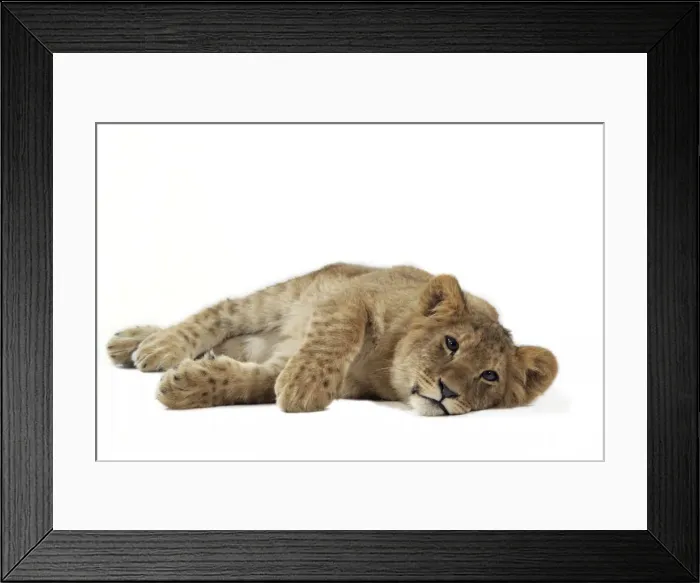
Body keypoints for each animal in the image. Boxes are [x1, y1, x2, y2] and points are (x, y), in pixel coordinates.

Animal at [106, 263, 558, 416]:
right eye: (451, 344)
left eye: (489, 376)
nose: (448, 392)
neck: (384, 370)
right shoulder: (353, 294)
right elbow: (339, 332)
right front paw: (304, 387)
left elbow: (255, 382)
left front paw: (187, 385)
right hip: (280, 297)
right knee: (217, 314)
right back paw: (148, 346)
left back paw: (130, 343)